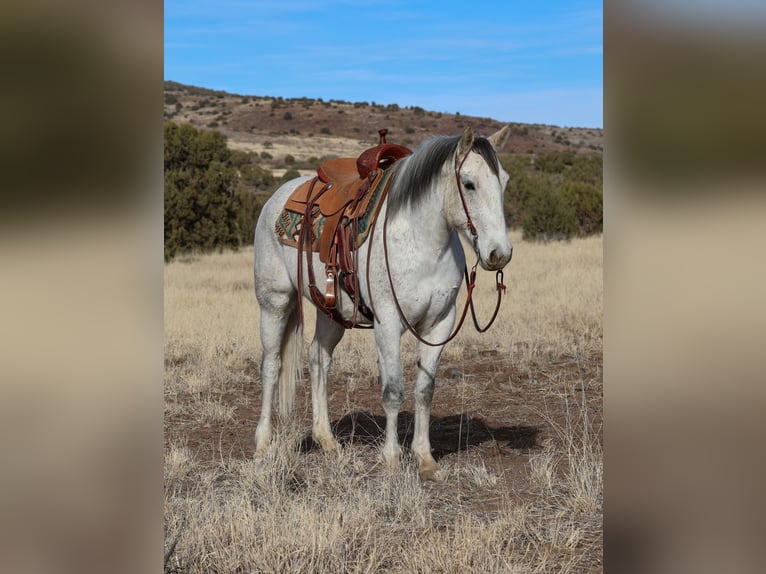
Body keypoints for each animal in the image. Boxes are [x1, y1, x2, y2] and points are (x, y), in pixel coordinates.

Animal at [255, 126, 512, 482]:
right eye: (470, 183)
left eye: (504, 181)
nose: (499, 253)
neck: (422, 242)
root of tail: (278, 197)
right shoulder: (388, 323)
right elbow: (393, 391)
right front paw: (391, 459)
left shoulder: (439, 324)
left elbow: (424, 390)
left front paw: (425, 459)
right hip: (274, 302)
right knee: (271, 366)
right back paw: (263, 444)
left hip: (331, 313)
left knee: (319, 359)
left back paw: (327, 441)